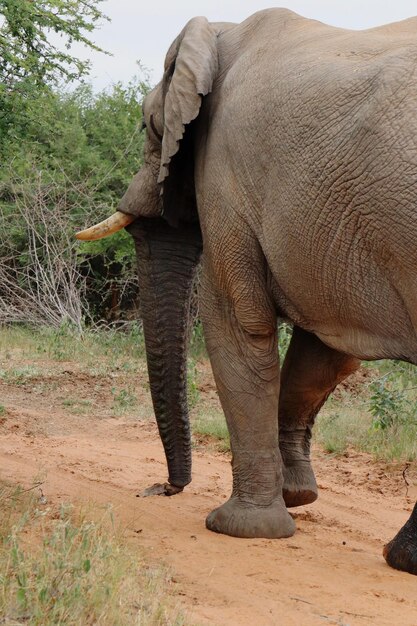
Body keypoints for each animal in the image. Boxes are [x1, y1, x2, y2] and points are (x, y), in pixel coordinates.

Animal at [76, 9, 416, 572]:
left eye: (151, 127)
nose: (160, 489)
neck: (221, 32)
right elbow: (324, 351)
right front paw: (296, 498)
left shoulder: (225, 170)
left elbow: (236, 321)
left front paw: (240, 529)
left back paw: (402, 557)